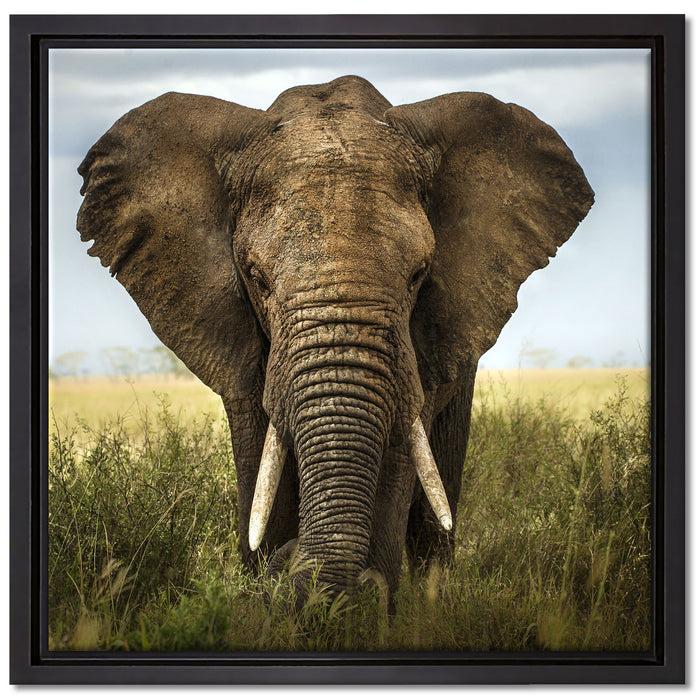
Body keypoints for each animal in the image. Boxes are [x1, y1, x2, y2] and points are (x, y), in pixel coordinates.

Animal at [77, 75, 593, 603]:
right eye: (257, 278)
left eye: (419, 275)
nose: (292, 562)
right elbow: (260, 464)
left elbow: (397, 457)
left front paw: (363, 603)